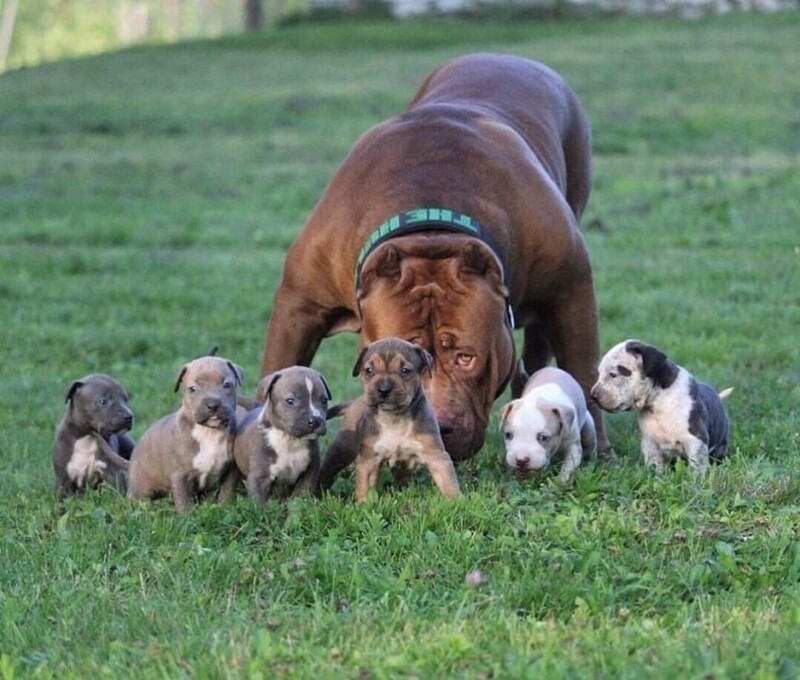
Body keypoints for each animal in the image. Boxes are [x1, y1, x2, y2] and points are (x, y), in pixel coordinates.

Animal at [128, 358, 244, 512]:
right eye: (192, 389)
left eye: (227, 384)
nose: (212, 405)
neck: (209, 432)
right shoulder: (180, 475)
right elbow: (183, 500)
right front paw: (187, 516)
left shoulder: (230, 467)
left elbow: (227, 490)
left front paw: (225, 507)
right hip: (142, 486)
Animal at [228, 366, 332, 500]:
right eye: (290, 401)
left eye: (324, 400)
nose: (315, 421)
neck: (290, 440)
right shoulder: (259, 478)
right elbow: (258, 502)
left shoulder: (310, 472)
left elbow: (301, 494)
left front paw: (297, 504)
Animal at [260, 50, 608, 460]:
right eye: (382, 364)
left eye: (466, 357)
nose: (438, 424)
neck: (431, 227)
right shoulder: (299, 305)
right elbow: (279, 367)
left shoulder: (571, 289)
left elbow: (583, 372)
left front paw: (599, 449)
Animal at [316, 338, 460, 502]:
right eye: (369, 370)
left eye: (405, 370)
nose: (383, 389)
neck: (394, 418)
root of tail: (354, 402)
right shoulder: (369, 460)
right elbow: (365, 487)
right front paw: (364, 504)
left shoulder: (436, 455)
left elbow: (448, 481)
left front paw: (456, 502)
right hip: (342, 448)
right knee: (327, 469)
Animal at [588, 338, 732, 476]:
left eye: (613, 374)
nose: (593, 395)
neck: (659, 399)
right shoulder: (650, 444)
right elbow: (655, 466)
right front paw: (655, 477)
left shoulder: (695, 440)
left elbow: (697, 465)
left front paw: (698, 480)